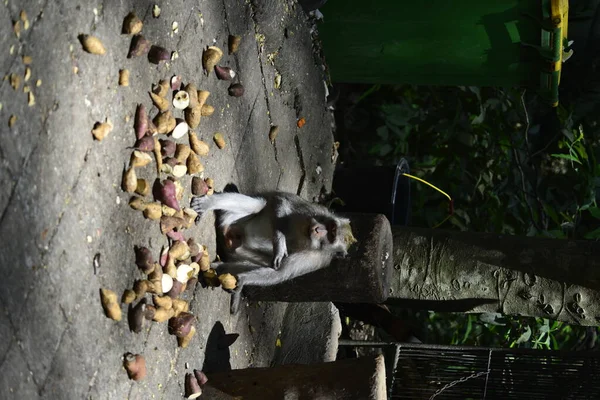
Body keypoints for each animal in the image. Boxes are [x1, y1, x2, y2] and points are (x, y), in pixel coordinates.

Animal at [190, 192, 354, 314]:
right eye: (332, 227)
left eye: (332, 235)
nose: (318, 229)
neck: (306, 236)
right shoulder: (317, 211)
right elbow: (282, 202)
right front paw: (280, 243)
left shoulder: (314, 259)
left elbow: (279, 273)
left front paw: (242, 280)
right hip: (230, 219)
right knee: (260, 205)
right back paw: (208, 203)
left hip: (236, 248)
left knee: (256, 261)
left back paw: (222, 269)